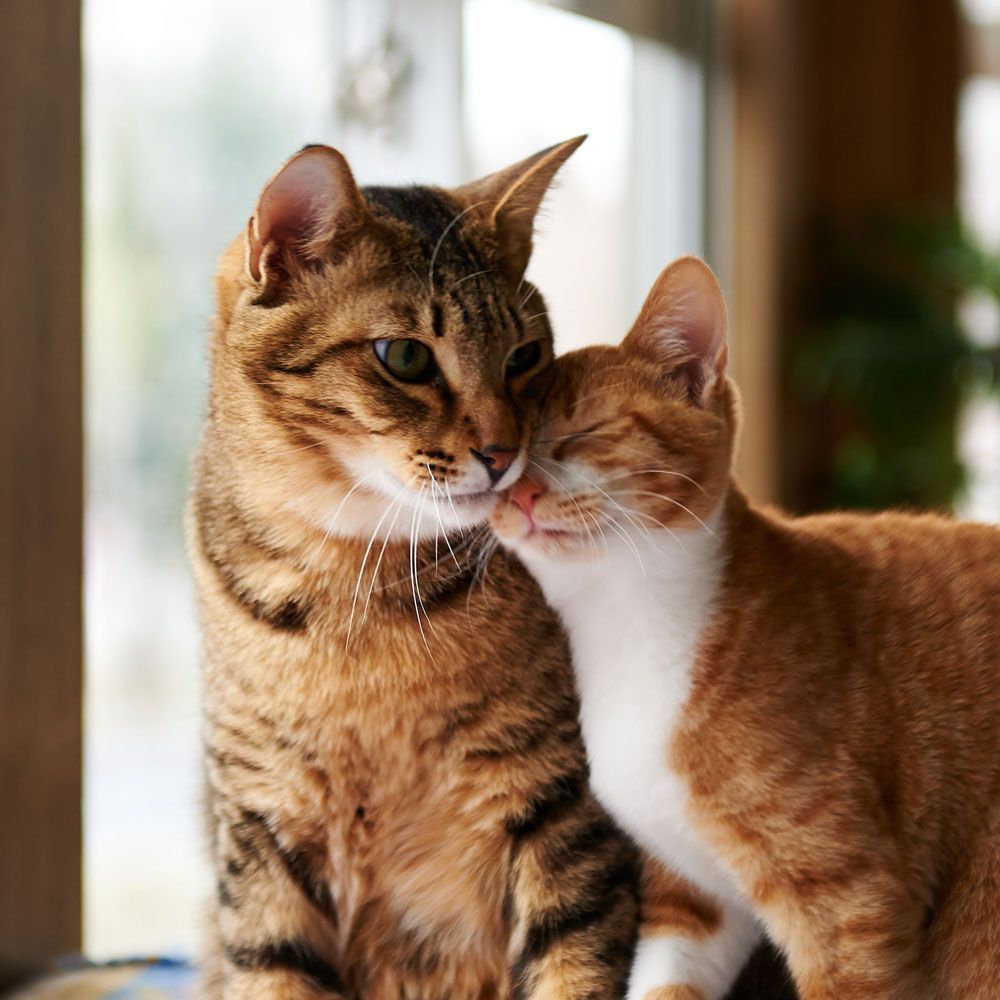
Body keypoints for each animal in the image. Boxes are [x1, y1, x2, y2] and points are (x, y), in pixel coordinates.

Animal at [492, 254, 1000, 996]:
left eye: (583, 432)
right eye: (502, 457)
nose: (521, 490)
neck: (627, 627)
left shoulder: (850, 902)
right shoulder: (693, 901)